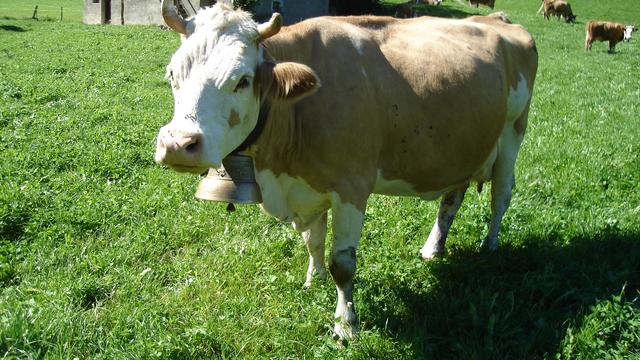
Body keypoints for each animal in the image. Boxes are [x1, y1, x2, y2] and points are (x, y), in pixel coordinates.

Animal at [154, 0, 536, 338]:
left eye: (243, 80)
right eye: (172, 74)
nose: (178, 143)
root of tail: (497, 19)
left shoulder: (352, 187)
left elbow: (343, 264)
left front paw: (346, 324)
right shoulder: (307, 188)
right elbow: (313, 241)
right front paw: (314, 280)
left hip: (513, 134)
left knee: (501, 196)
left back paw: (489, 247)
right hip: (463, 147)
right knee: (452, 198)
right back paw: (433, 248)